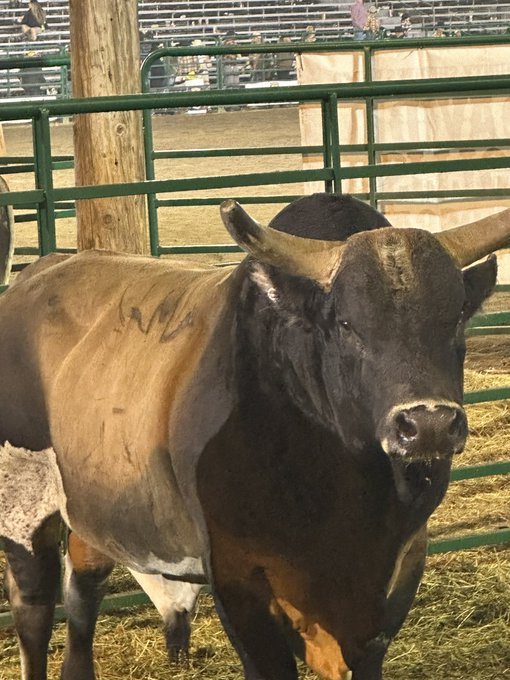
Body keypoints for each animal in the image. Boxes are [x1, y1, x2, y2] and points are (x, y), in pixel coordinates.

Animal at [0, 193, 508, 680]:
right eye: (347, 323)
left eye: (456, 318)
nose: (428, 424)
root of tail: (33, 278)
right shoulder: (237, 576)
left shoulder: (398, 569)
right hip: (24, 511)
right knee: (34, 612)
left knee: (83, 597)